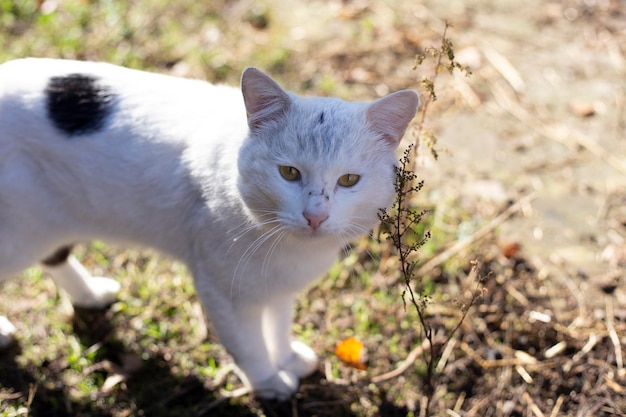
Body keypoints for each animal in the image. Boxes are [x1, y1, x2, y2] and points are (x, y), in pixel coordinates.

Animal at [0, 59, 420, 400]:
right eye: (289, 173)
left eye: (349, 180)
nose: (315, 216)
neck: (287, 245)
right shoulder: (223, 290)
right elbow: (248, 345)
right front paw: (269, 381)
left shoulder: (278, 285)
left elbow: (278, 323)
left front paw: (285, 358)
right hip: (18, 232)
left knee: (54, 256)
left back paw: (89, 294)